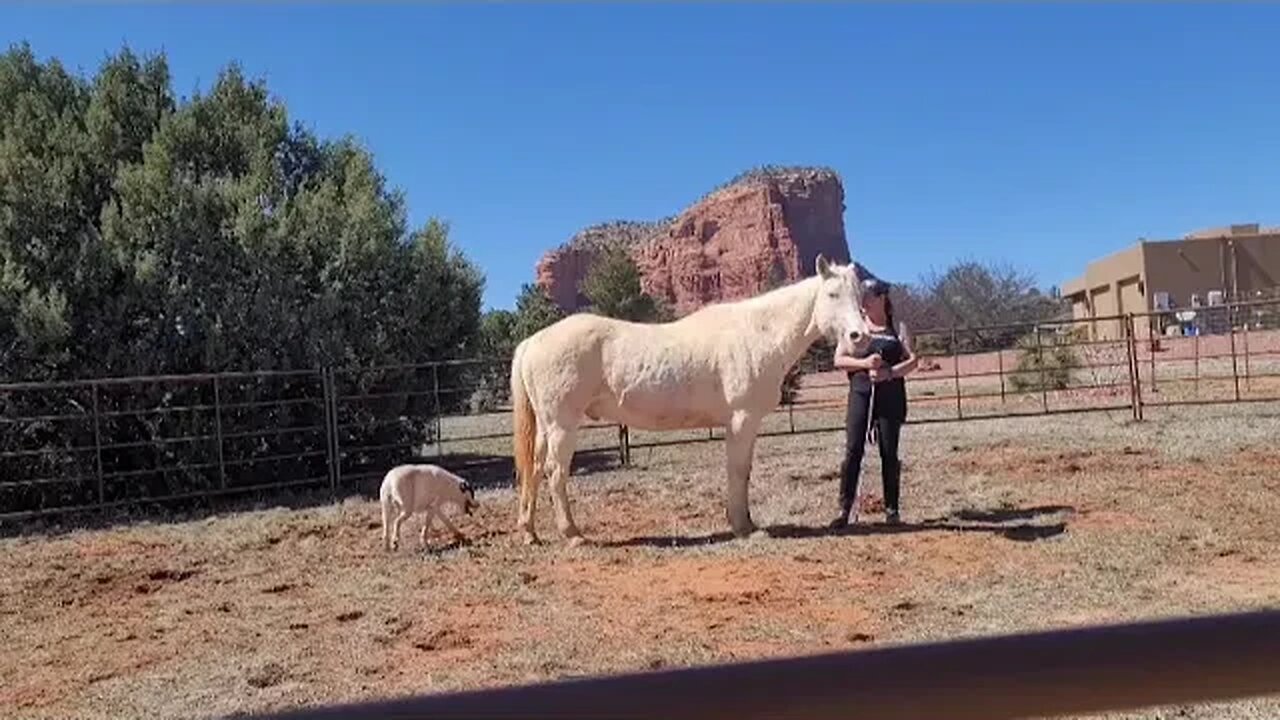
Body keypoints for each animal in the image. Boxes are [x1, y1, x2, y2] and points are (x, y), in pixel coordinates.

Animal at [509, 254, 870, 540]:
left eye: (860, 296)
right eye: (832, 294)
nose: (860, 336)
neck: (758, 334)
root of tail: (533, 341)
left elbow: (742, 471)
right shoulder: (742, 420)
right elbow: (738, 470)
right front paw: (745, 527)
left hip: (546, 427)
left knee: (536, 469)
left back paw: (529, 532)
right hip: (562, 426)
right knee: (556, 472)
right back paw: (572, 533)